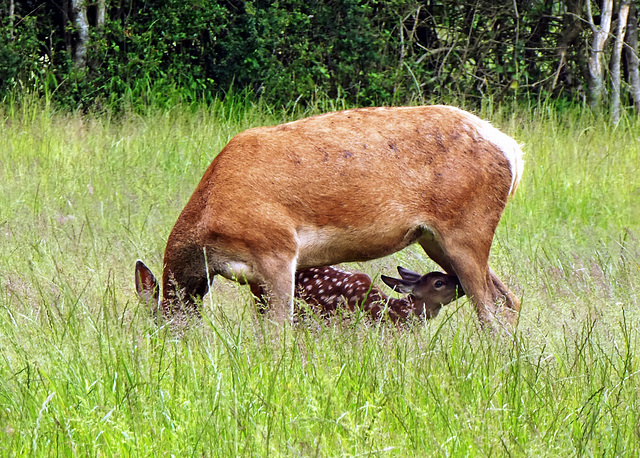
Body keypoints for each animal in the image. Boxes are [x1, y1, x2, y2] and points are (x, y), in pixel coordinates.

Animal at [135, 105, 524, 330]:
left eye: (157, 327)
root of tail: (512, 150)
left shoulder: (276, 249)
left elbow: (278, 333)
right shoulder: (256, 279)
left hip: (467, 226)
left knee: (490, 309)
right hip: (435, 238)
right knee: (509, 299)